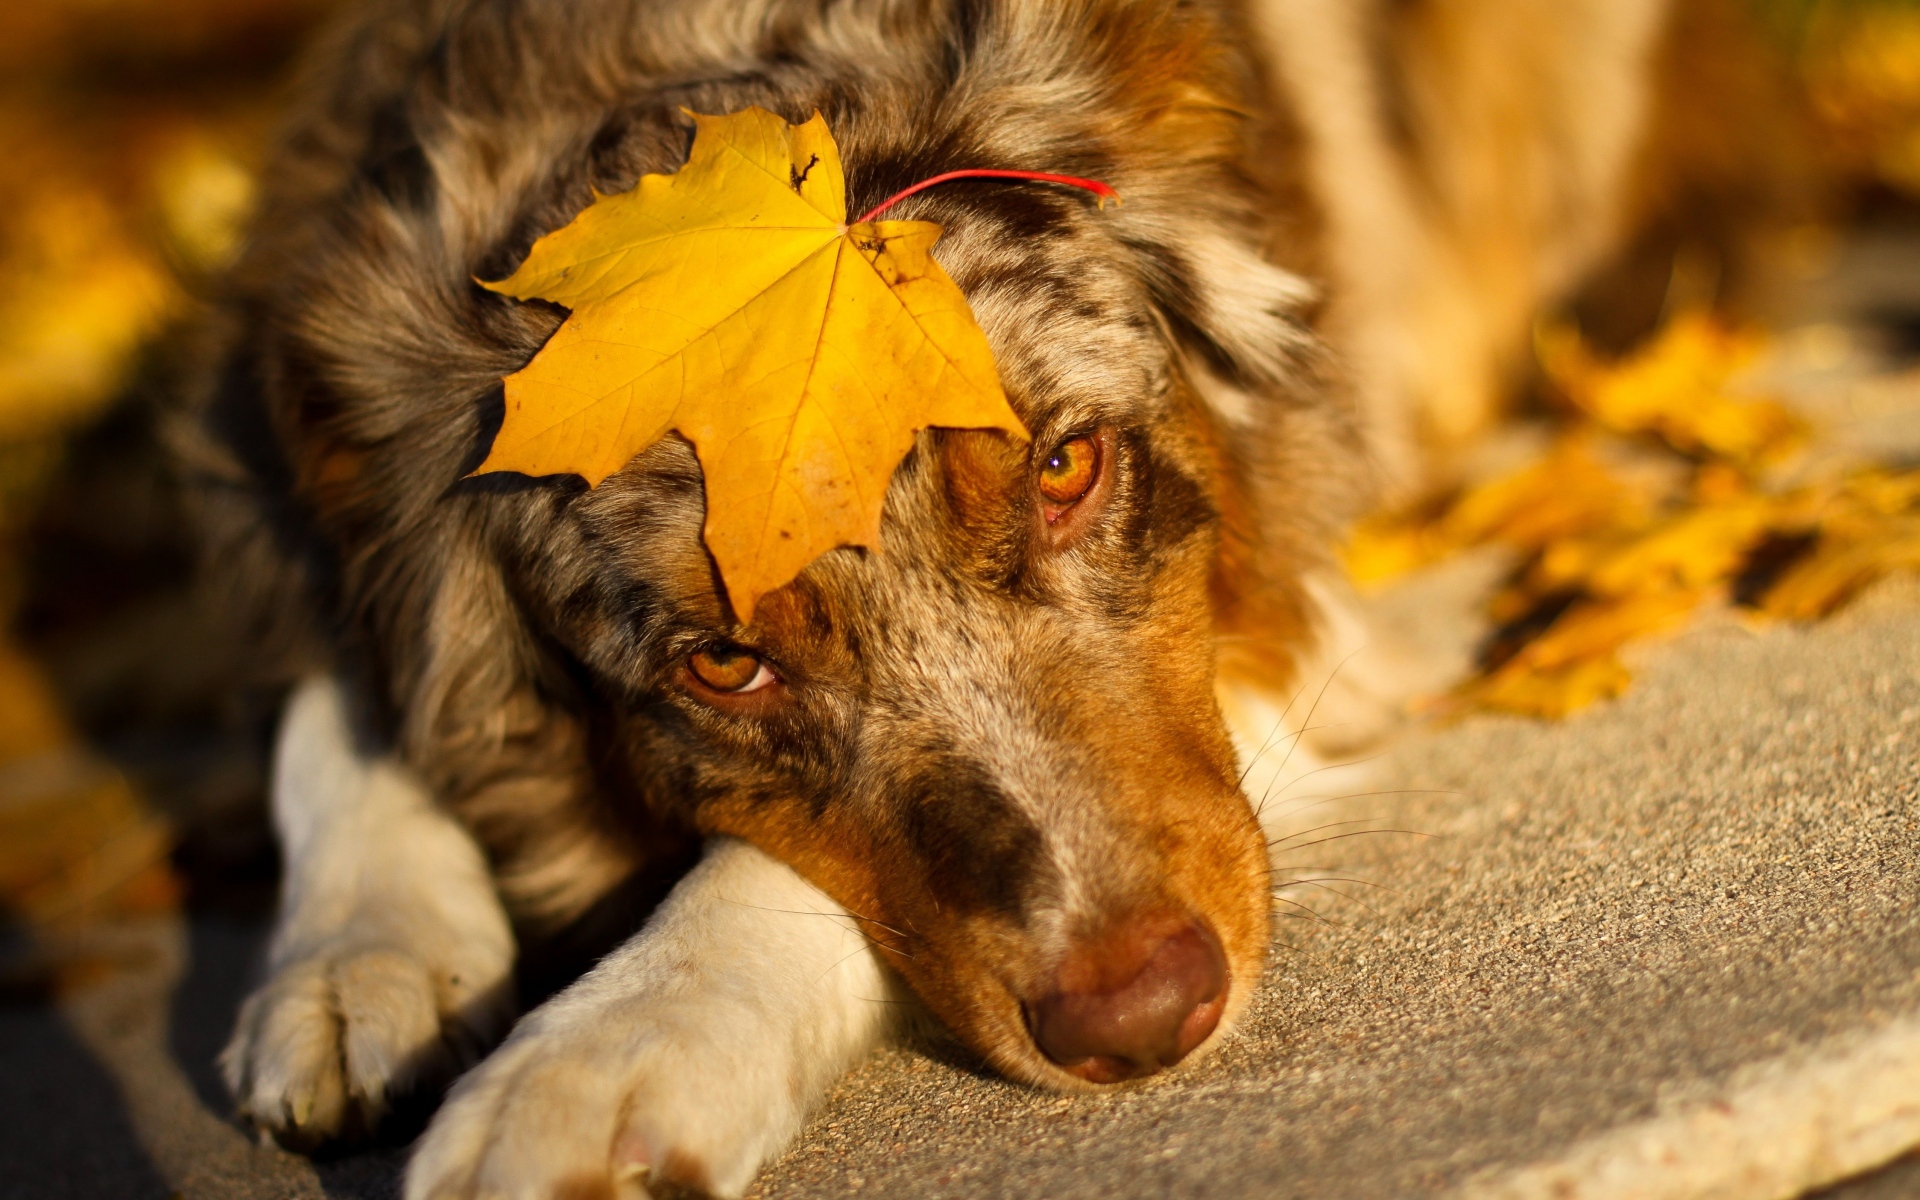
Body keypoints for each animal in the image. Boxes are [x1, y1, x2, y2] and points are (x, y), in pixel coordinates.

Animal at [183, 2, 1797, 1198]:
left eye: (1067, 467)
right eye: (723, 667)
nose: (1144, 1023)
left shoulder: (1287, 615)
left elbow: (756, 875)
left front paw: (597, 1059)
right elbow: (336, 707)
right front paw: (357, 954)